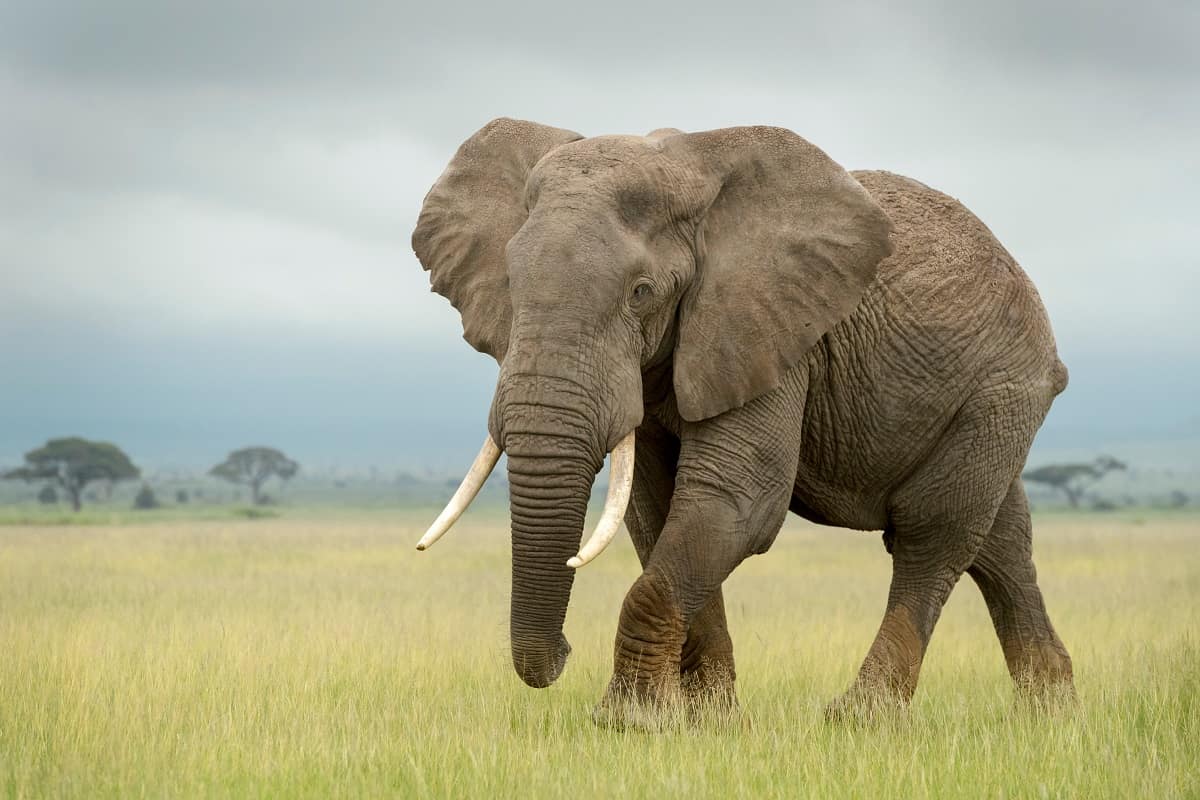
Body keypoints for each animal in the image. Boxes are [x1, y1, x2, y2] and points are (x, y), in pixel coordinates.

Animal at [411, 118, 1075, 726]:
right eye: (510, 286)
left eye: (641, 292)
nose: (563, 655)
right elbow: (658, 511)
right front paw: (709, 719)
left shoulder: (773, 331)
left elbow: (736, 500)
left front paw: (631, 722)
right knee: (999, 542)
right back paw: (1049, 711)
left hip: (1002, 389)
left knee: (933, 531)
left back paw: (861, 717)